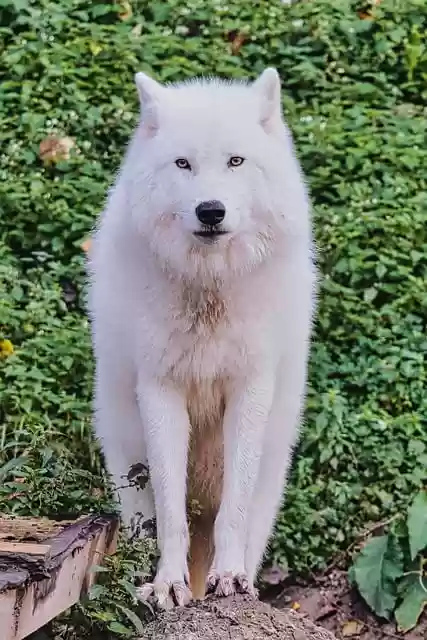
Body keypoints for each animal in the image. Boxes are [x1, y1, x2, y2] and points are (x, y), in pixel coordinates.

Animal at [87, 67, 317, 609]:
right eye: (183, 164)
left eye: (235, 161)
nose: (210, 210)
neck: (208, 292)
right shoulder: (159, 389)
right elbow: (172, 512)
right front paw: (168, 585)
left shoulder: (250, 387)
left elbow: (233, 509)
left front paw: (228, 578)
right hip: (128, 478)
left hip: (270, 477)